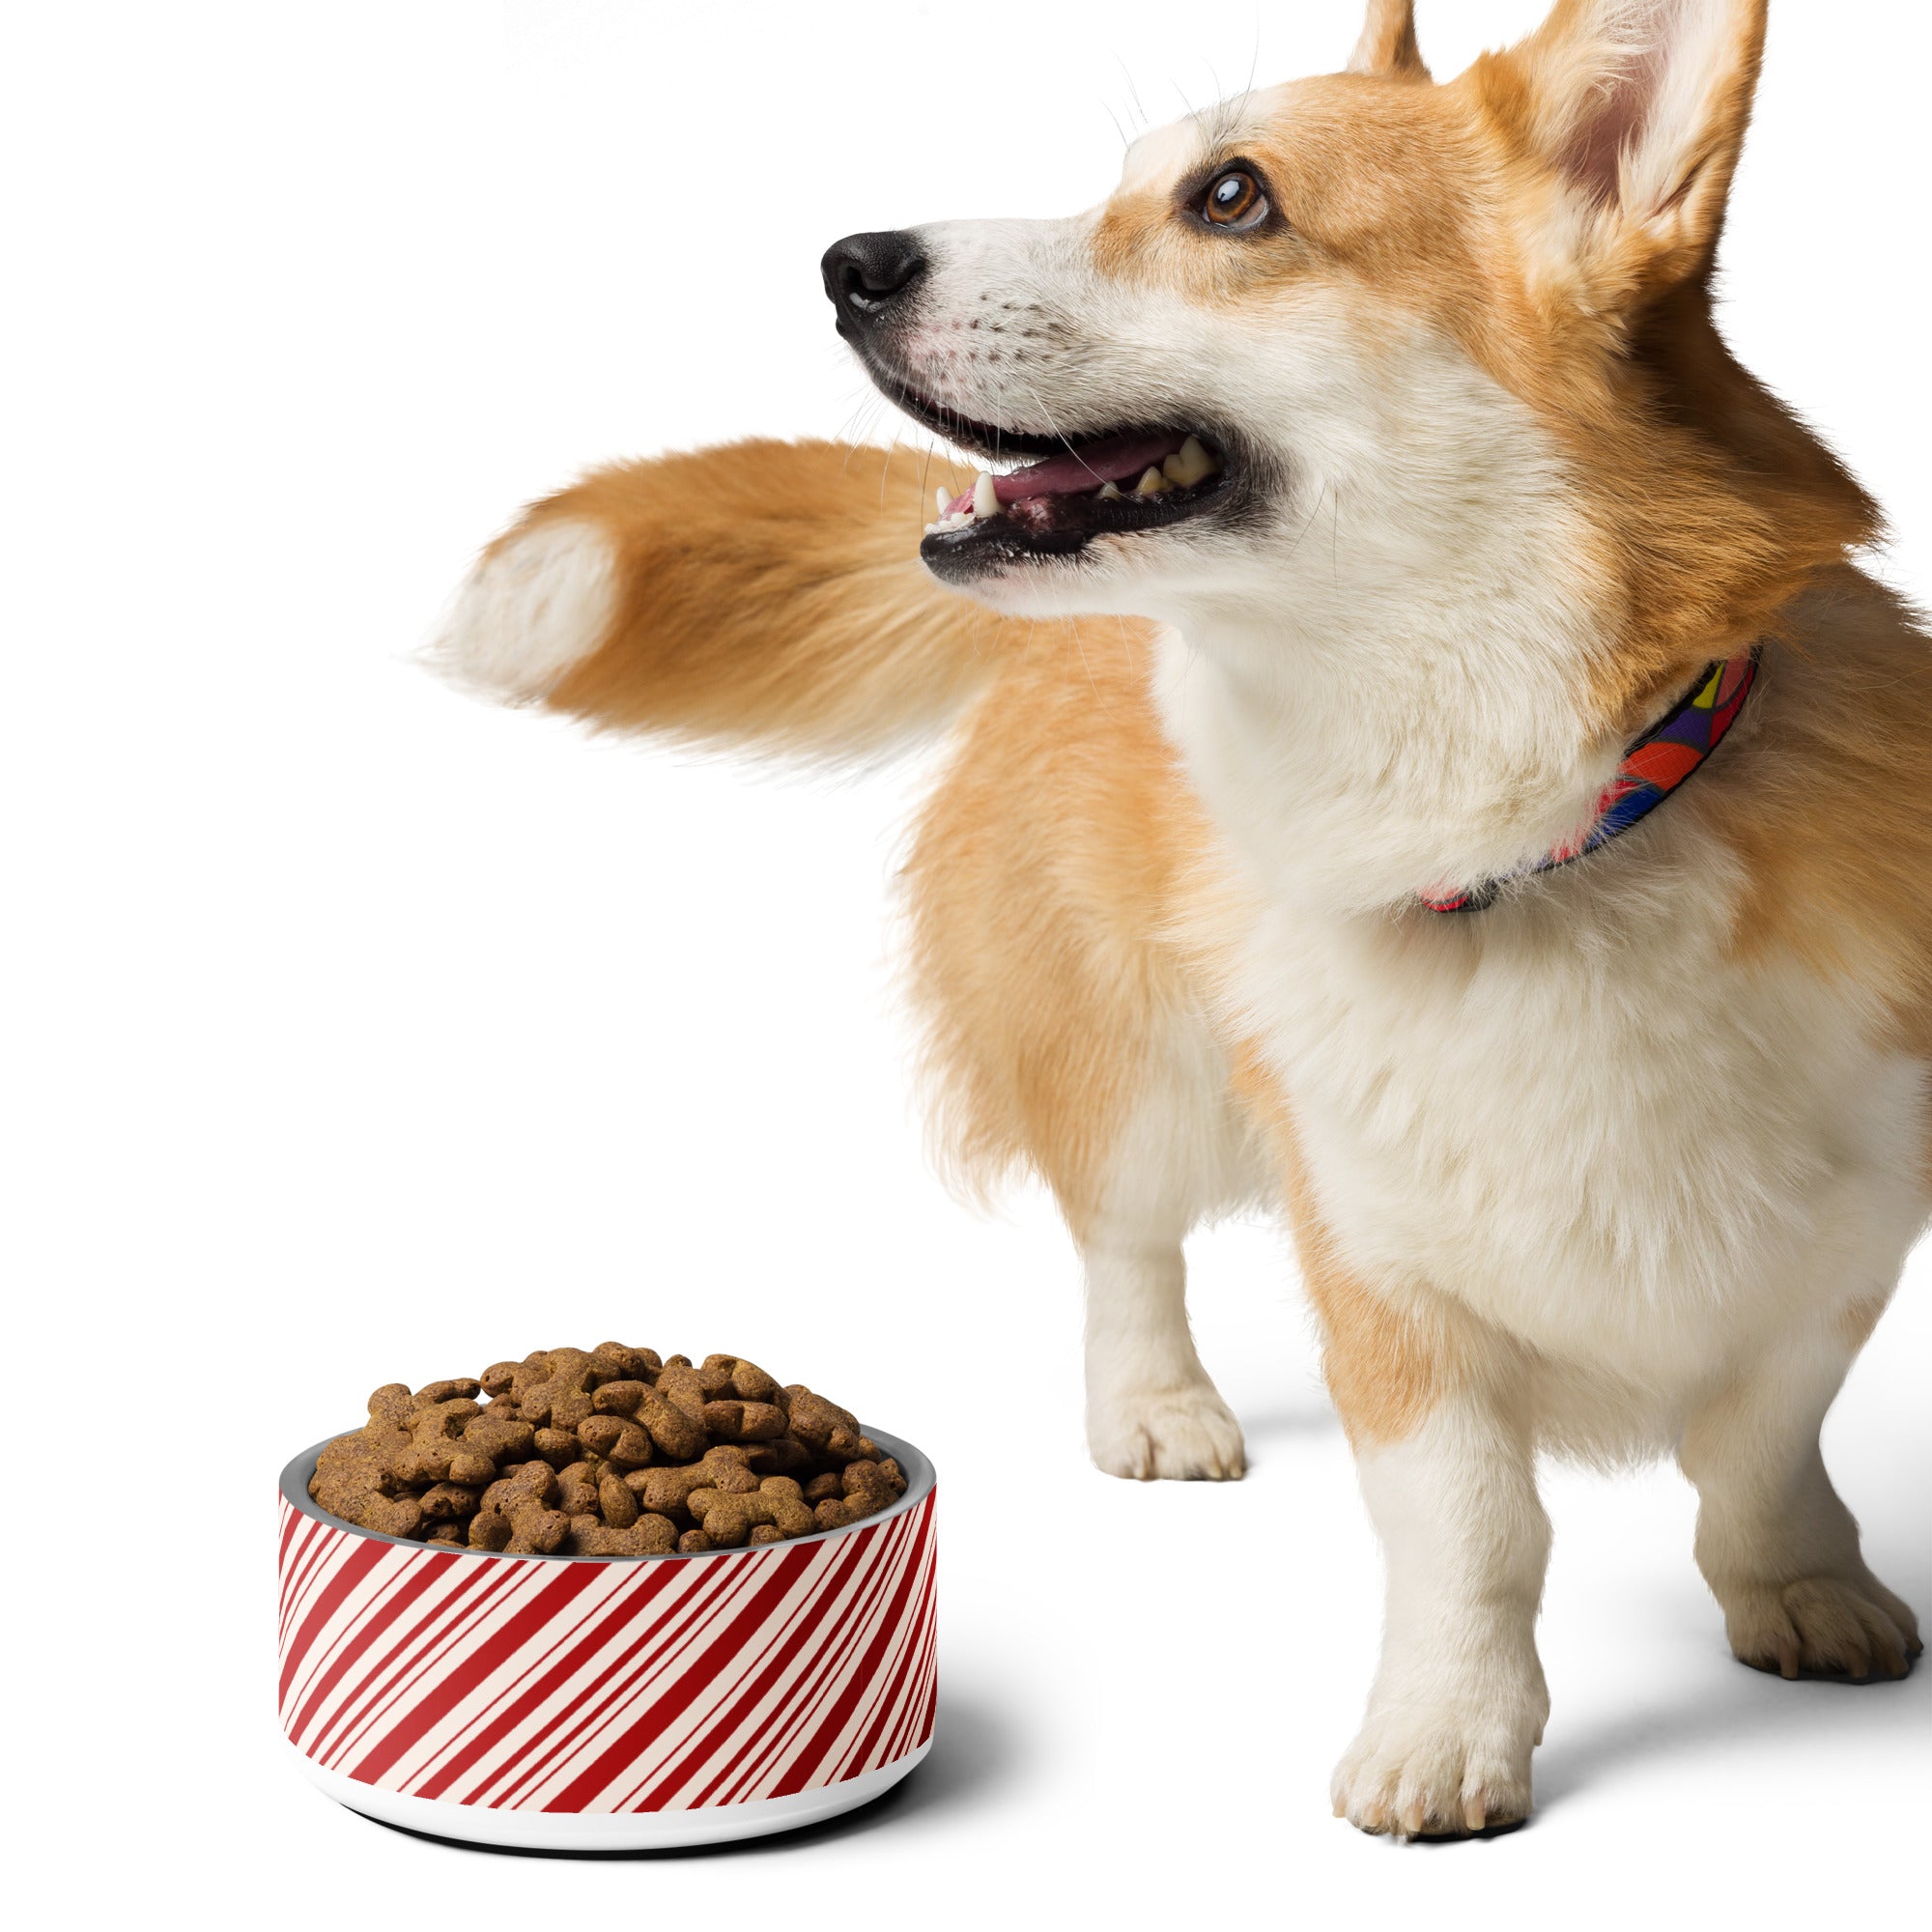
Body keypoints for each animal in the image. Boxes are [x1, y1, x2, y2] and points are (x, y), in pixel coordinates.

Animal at [431, 0, 1924, 1839]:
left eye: (1231, 198)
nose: (847, 262)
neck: (1560, 834)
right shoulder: (1381, 1265)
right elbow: (1474, 1528)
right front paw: (1446, 1737)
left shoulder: (1845, 1243)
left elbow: (1762, 1441)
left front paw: (1801, 1587)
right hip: (1139, 1073)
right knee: (1123, 1241)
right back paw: (1157, 1407)